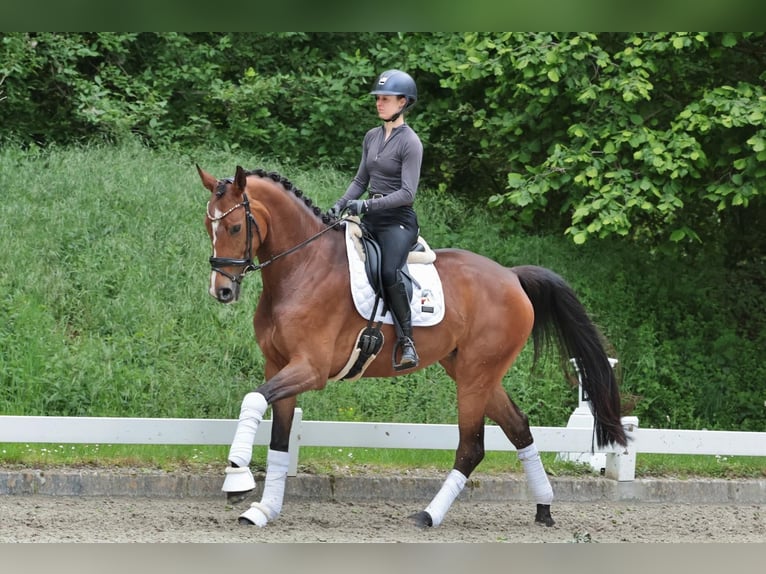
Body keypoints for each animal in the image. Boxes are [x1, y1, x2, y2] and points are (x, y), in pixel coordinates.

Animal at [197, 164, 628, 529]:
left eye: (233, 227)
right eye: (208, 226)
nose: (222, 291)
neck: (302, 267)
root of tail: (511, 276)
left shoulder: (310, 369)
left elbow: (253, 400)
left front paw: (236, 476)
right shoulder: (278, 365)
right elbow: (279, 439)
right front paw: (263, 510)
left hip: (475, 377)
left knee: (472, 447)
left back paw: (429, 515)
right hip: (474, 372)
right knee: (519, 428)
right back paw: (543, 508)